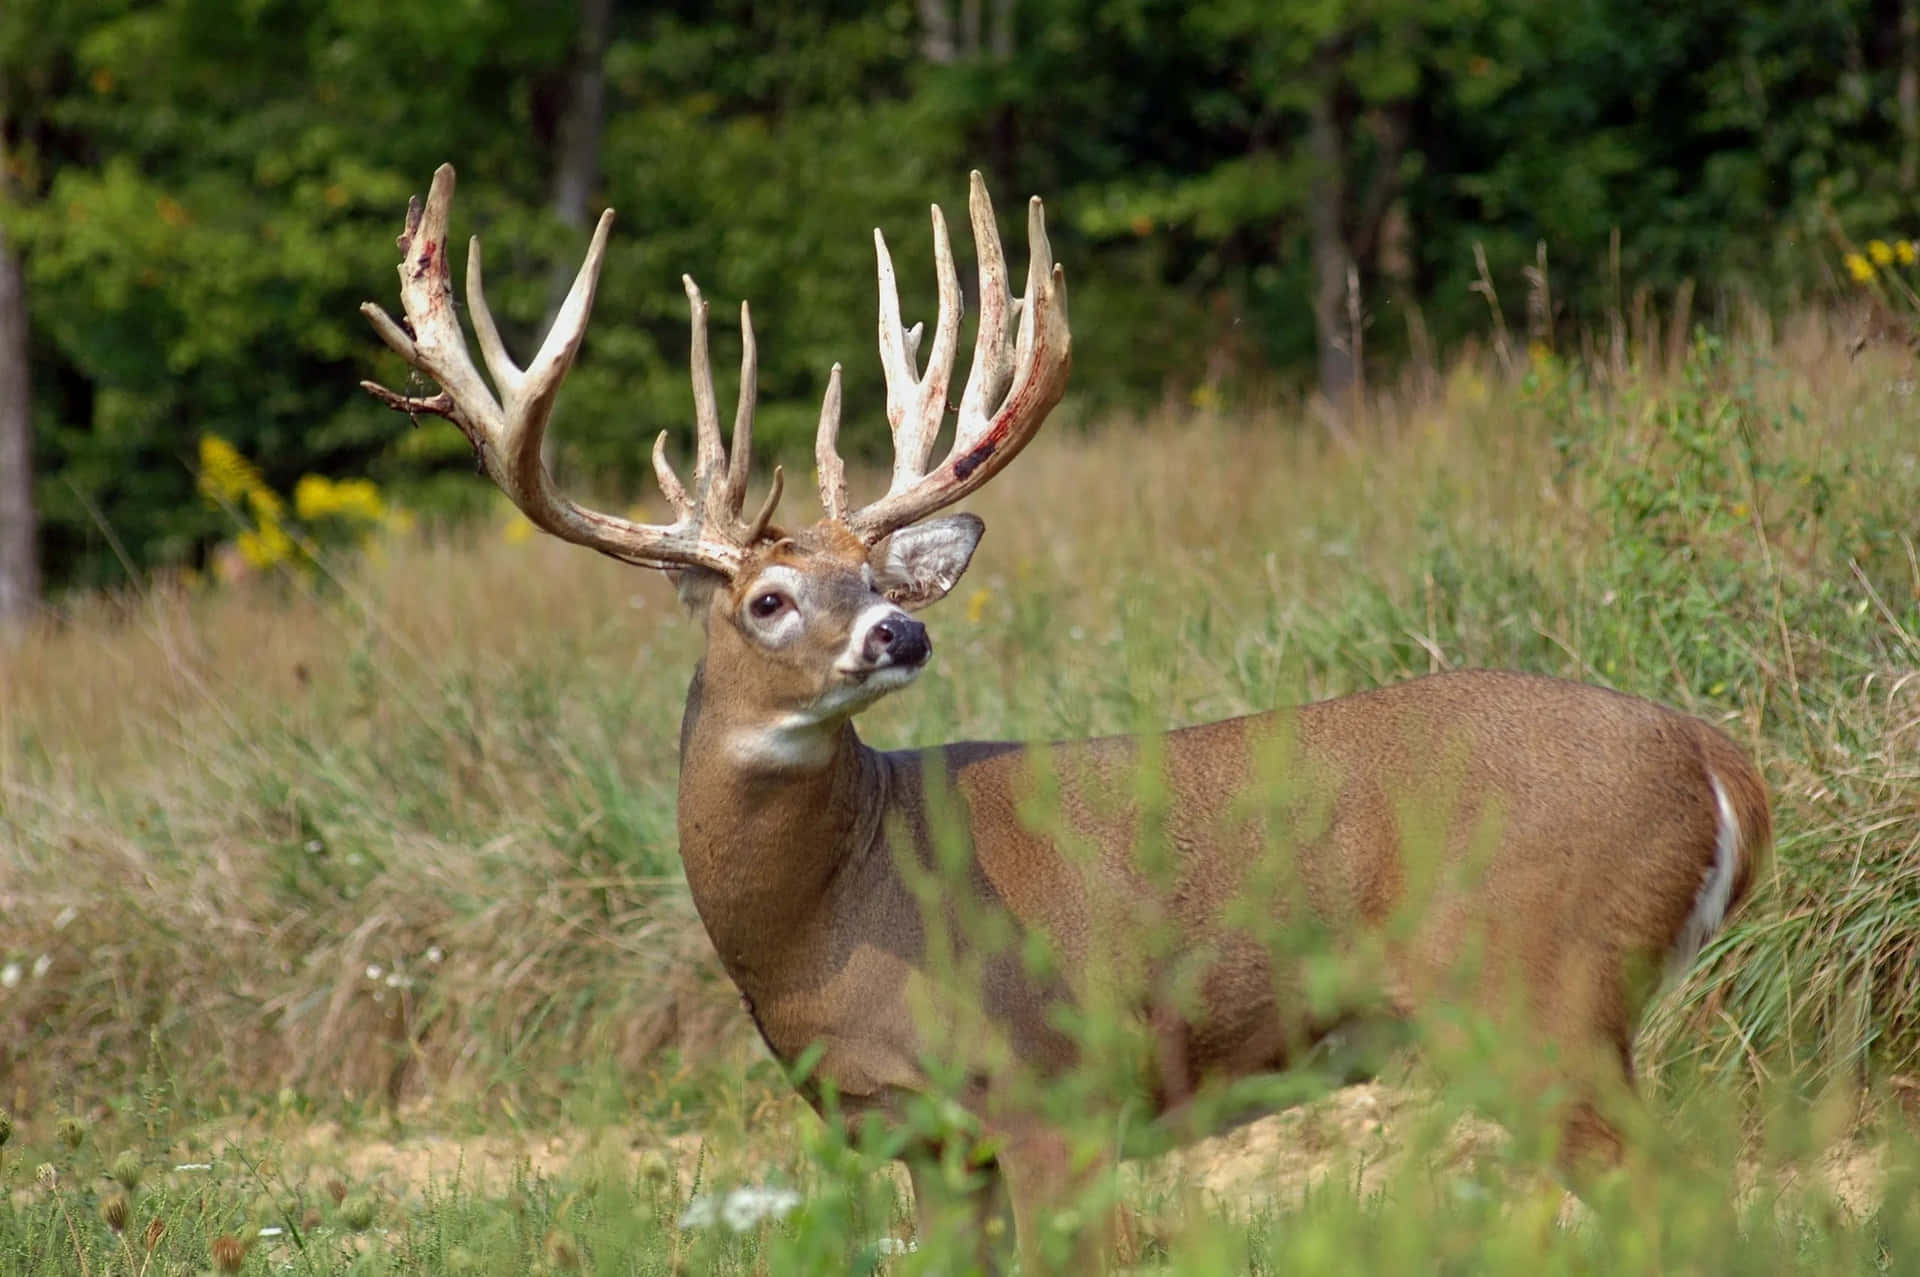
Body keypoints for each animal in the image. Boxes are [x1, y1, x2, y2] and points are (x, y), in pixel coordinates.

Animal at [361, 165, 1770, 1273]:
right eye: (768, 598)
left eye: (877, 578)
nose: (901, 630)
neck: (836, 914)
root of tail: (1720, 761)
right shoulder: (932, 1142)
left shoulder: (1058, 1095)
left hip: (1539, 991)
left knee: (1680, 1198)